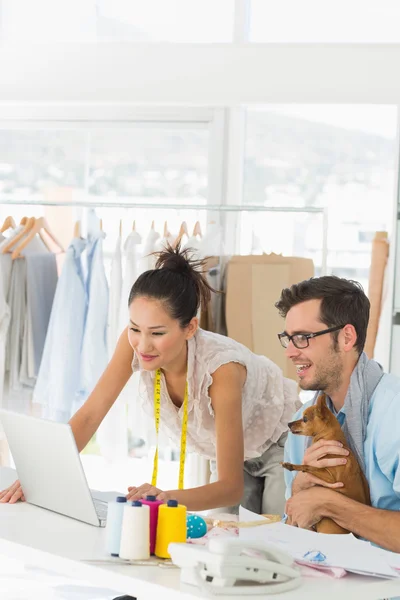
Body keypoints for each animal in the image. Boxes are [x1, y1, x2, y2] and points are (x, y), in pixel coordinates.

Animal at [282, 394, 368, 536]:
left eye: (305, 419)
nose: (288, 423)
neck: (330, 438)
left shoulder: (332, 479)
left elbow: (309, 466)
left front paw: (291, 465)